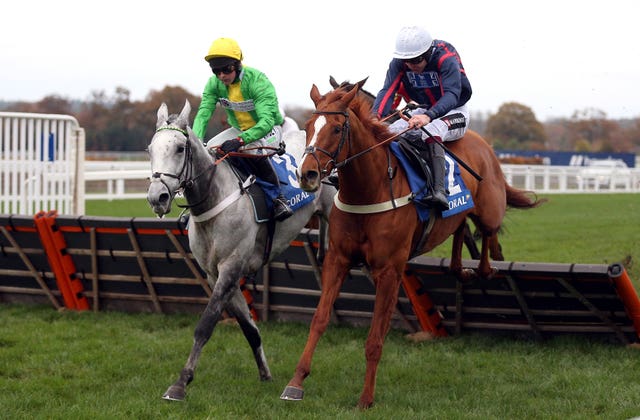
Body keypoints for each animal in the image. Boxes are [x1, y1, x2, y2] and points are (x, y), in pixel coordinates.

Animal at [282, 81, 544, 406]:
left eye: (336, 128)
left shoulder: (389, 271)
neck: (370, 188)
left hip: (489, 206)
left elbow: (376, 336)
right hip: (461, 215)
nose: (307, 174)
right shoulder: (338, 260)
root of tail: (485, 145)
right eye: (308, 127)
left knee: (488, 232)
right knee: (461, 226)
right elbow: (319, 319)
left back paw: (486, 264)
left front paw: (366, 398)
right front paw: (296, 382)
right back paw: (460, 268)